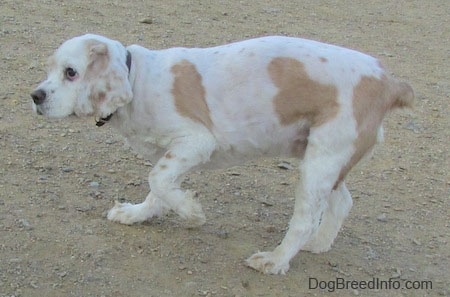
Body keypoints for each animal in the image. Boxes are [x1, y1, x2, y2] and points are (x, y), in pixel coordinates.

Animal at [29, 34, 414, 272]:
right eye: (49, 69)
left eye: (71, 72)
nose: (35, 96)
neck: (137, 79)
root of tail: (389, 81)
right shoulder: (168, 153)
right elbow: (158, 187)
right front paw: (138, 214)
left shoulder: (196, 141)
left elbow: (158, 180)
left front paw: (192, 213)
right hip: (327, 159)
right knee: (342, 203)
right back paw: (318, 244)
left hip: (322, 160)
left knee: (305, 219)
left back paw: (275, 260)